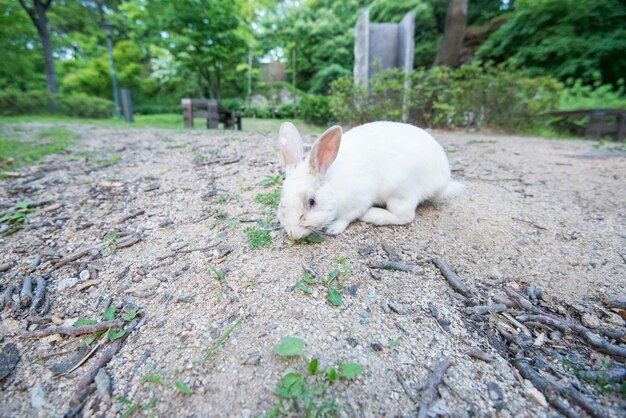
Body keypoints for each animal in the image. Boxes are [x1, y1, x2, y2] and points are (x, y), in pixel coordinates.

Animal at [276, 121, 460, 238]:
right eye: (282, 202)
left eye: (312, 202)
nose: (294, 235)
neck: (332, 185)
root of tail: (442, 181)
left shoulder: (359, 200)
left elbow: (346, 218)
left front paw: (333, 229)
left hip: (398, 191)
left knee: (406, 216)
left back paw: (371, 214)